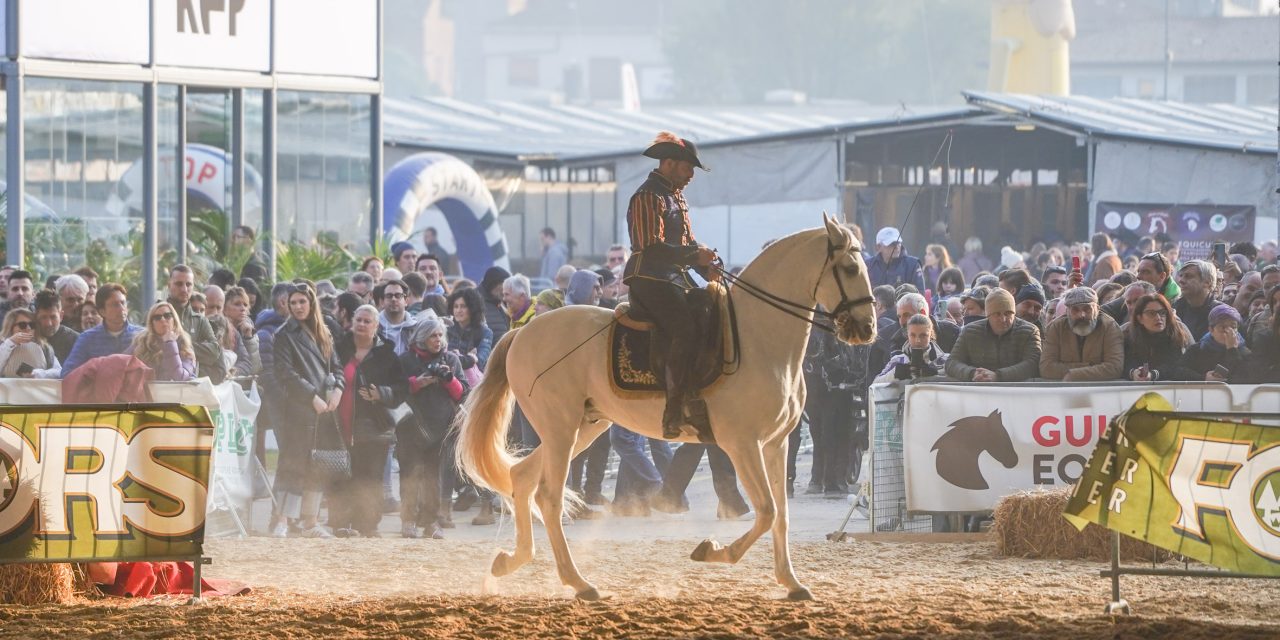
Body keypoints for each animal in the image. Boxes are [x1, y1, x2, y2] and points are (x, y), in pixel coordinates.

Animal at [456, 213, 877, 601]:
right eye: (850, 268)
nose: (867, 328)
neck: (759, 339)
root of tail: (523, 331)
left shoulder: (776, 444)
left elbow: (782, 516)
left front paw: (791, 583)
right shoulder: (742, 444)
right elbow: (767, 510)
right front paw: (711, 551)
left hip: (583, 427)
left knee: (522, 478)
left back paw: (507, 563)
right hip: (561, 430)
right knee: (549, 496)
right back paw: (579, 583)